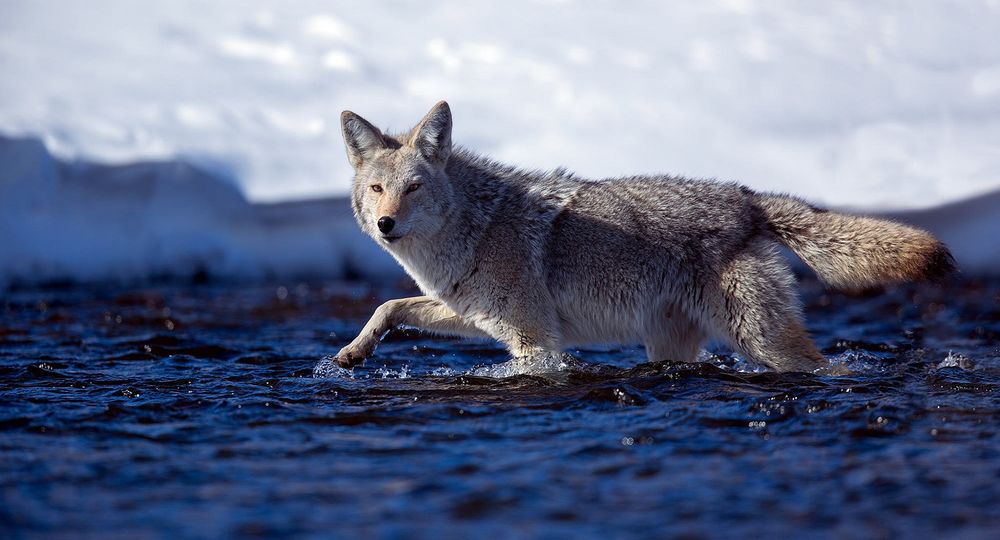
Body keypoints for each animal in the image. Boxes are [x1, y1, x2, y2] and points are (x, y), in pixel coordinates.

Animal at [334, 101, 954, 372]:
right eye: (377, 189)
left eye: (413, 188)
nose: (386, 224)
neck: (475, 230)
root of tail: (749, 198)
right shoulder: (471, 315)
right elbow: (390, 306)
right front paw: (353, 351)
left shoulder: (537, 342)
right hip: (672, 343)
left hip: (762, 341)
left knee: (828, 367)